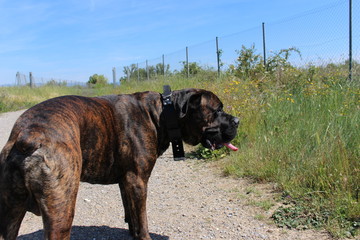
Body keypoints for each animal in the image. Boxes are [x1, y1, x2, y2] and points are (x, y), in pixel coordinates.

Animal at [0, 88, 239, 240]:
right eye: (217, 110)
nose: (238, 121)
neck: (160, 114)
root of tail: (28, 135)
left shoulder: (126, 182)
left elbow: (131, 214)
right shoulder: (138, 182)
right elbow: (142, 219)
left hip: (10, 213)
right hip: (61, 213)